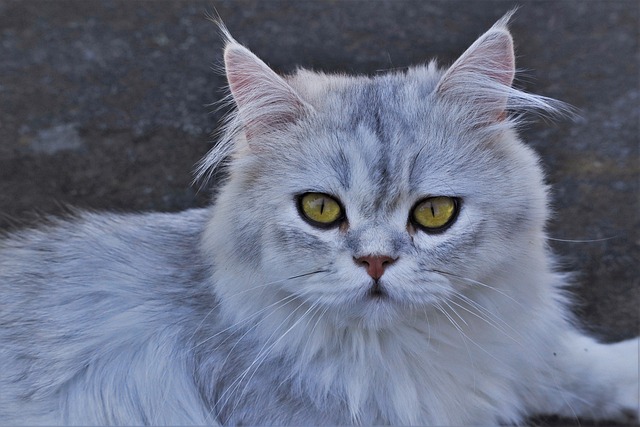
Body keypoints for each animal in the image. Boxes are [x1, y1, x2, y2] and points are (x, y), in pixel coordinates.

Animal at [1, 11, 640, 426]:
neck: (398, 355)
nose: (375, 262)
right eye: (321, 210)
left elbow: (575, 367)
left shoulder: (514, 347)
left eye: (434, 213)